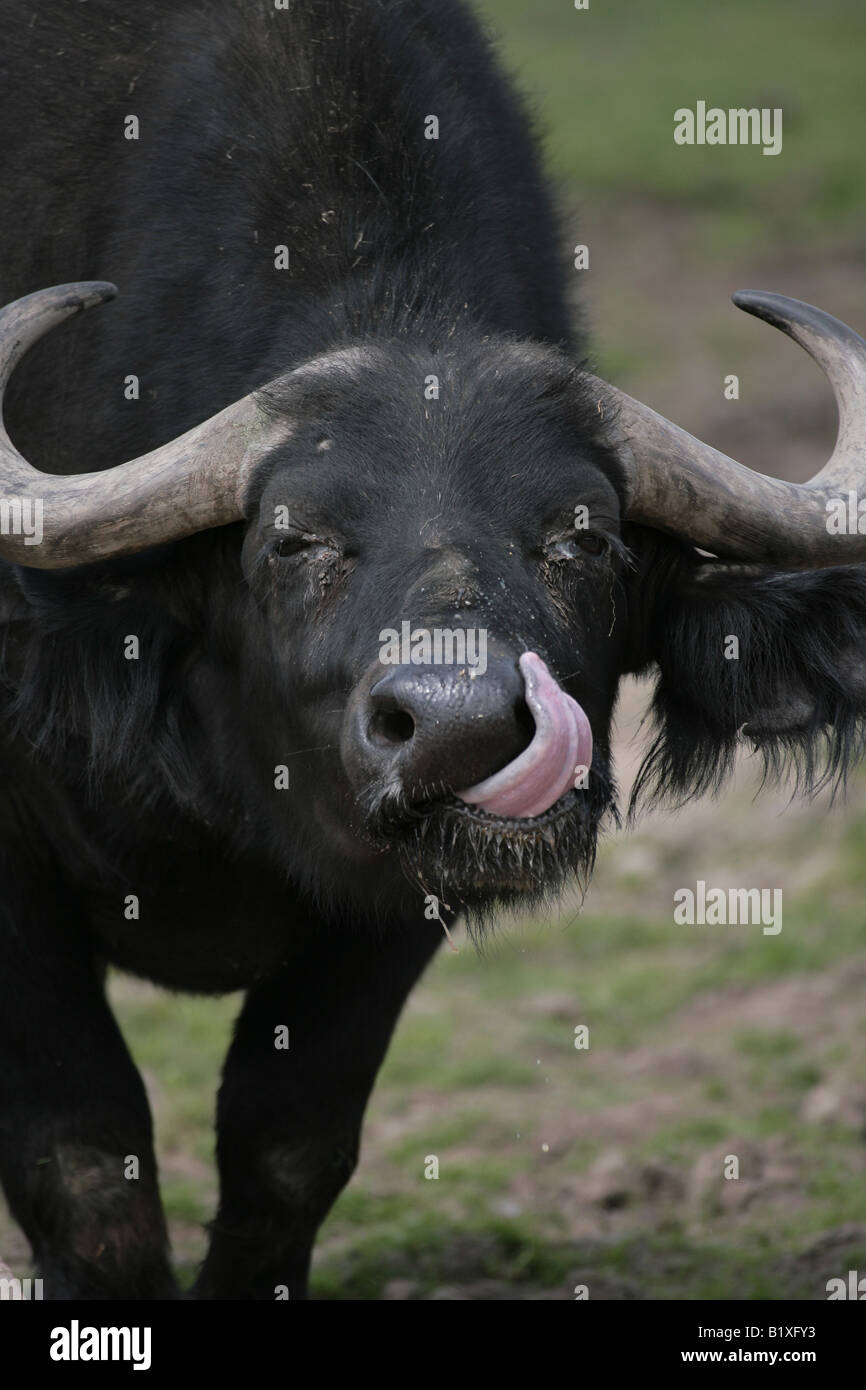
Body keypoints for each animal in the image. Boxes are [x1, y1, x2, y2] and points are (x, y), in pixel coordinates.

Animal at [1, 0, 866, 1300]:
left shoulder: (400, 901)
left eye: (584, 536)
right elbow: (84, 1158)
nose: (460, 726)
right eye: (293, 537)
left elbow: (288, 1141)